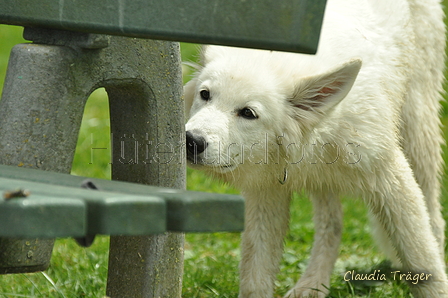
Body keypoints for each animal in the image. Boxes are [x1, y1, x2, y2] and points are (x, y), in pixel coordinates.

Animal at [184, 0, 446, 296]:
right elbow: (255, 274)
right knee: (332, 223)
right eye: (205, 95)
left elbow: (423, 259)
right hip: (324, 179)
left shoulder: (391, 181)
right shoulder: (266, 194)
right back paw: (312, 284)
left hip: (418, 131)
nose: (191, 141)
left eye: (248, 113)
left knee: (434, 219)